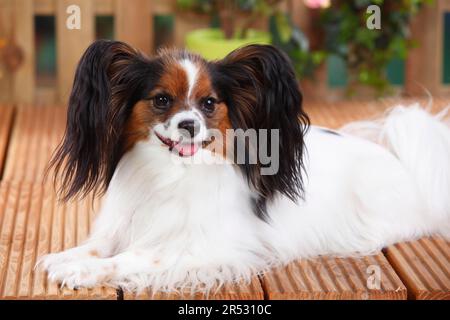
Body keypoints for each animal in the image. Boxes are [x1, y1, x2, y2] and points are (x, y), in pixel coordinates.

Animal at [36, 39, 450, 292]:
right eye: (161, 100)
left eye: (208, 104)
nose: (189, 126)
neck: (171, 174)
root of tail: (399, 161)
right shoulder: (127, 221)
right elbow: (100, 245)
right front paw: (67, 257)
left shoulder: (207, 246)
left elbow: (136, 254)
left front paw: (81, 271)